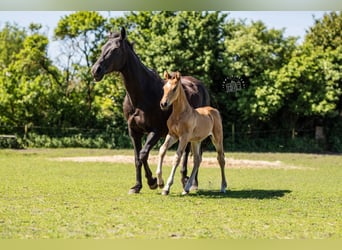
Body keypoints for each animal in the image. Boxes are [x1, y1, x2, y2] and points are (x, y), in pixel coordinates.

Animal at [91, 28, 208, 194]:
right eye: (102, 48)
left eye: (115, 50)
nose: (95, 70)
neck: (142, 95)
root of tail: (199, 85)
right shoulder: (134, 132)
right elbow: (137, 158)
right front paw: (137, 186)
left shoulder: (156, 131)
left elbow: (143, 154)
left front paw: (153, 181)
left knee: (190, 154)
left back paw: (190, 182)